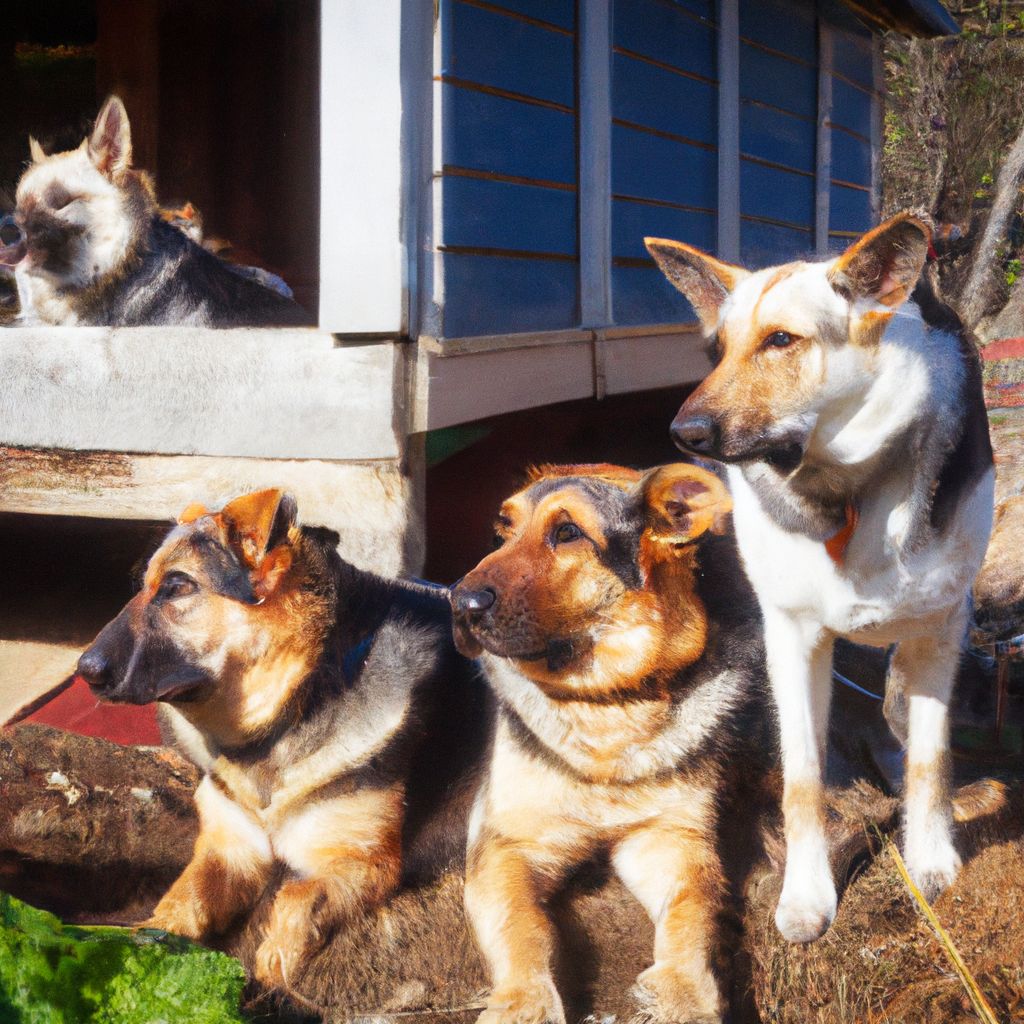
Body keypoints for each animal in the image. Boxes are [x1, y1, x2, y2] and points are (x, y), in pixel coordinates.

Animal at [77, 491, 485, 987]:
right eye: (143, 585)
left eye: (178, 587)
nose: (84, 671)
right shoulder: (228, 850)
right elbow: (182, 899)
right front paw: (155, 939)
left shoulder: (361, 864)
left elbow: (295, 899)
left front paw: (272, 971)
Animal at [452, 462, 765, 1024]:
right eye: (502, 533)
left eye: (568, 533)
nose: (457, 603)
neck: (607, 708)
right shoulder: (506, 846)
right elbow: (523, 926)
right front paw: (523, 1000)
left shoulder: (670, 839)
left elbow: (692, 910)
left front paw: (685, 990)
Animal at [647, 209, 991, 942]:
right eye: (716, 352)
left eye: (782, 340)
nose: (684, 433)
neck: (850, 489)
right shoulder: (794, 639)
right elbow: (802, 777)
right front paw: (807, 892)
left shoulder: (939, 632)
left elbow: (931, 759)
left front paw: (931, 856)